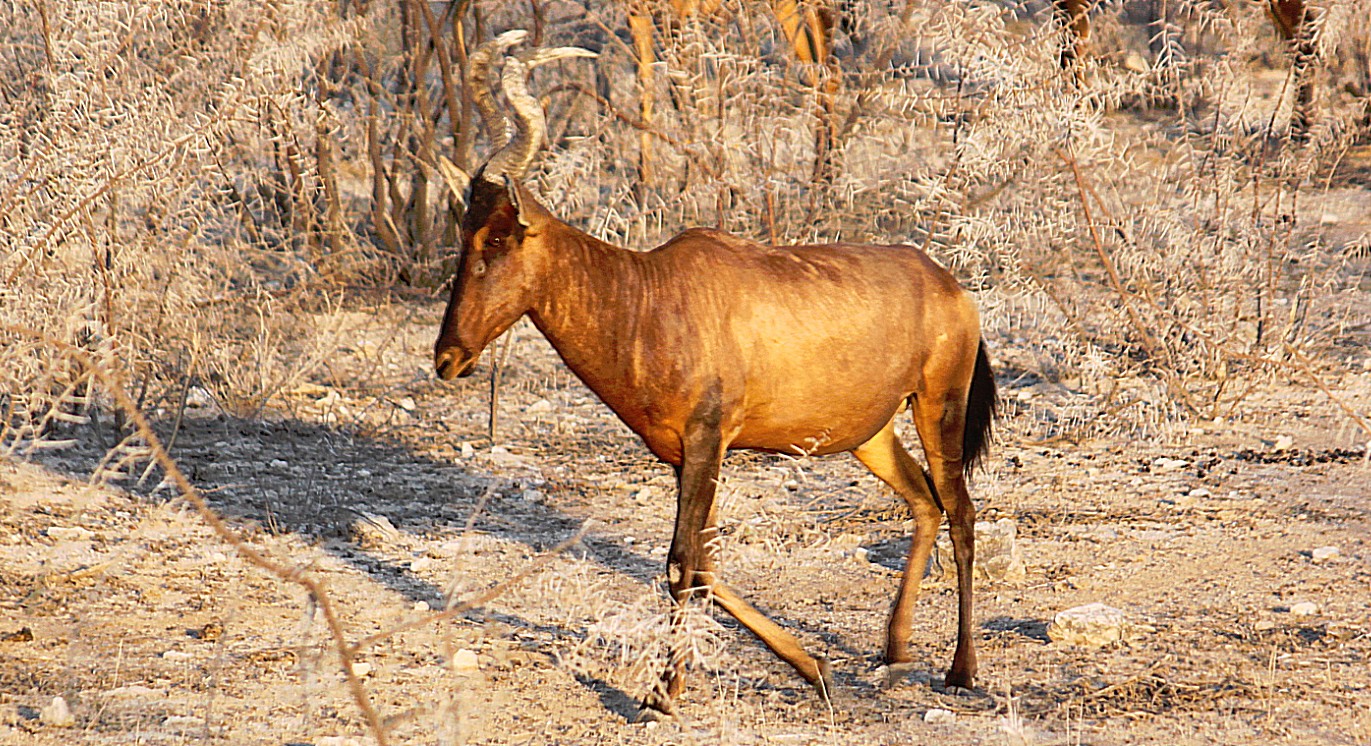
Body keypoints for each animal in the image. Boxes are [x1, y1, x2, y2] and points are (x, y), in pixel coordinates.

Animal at [435, 36, 998, 718]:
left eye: (499, 236)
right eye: (464, 231)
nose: (447, 357)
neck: (649, 293)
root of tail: (951, 286)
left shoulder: (709, 441)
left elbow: (681, 561)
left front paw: (662, 693)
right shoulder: (683, 455)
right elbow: (701, 562)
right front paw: (815, 669)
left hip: (939, 403)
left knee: (961, 509)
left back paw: (962, 670)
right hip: (871, 434)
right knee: (923, 502)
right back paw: (894, 648)